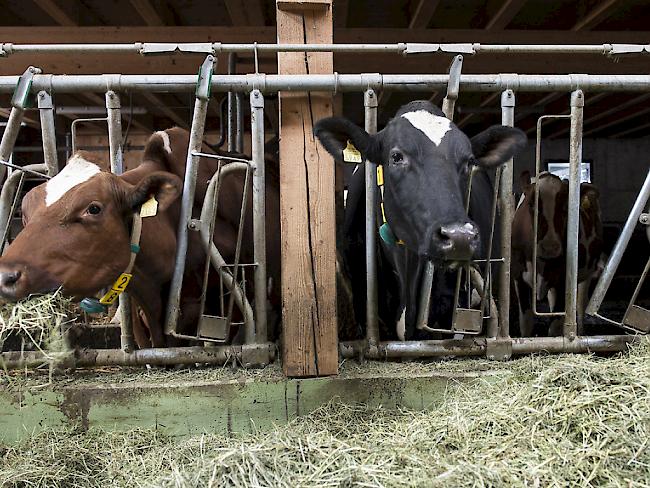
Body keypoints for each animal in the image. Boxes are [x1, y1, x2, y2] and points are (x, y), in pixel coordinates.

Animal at [512, 171, 604, 336]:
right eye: (531, 204)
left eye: (566, 207)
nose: (550, 248)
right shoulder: (518, 275)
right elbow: (526, 322)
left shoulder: (563, 280)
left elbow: (554, 326)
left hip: (587, 273)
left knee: (580, 305)